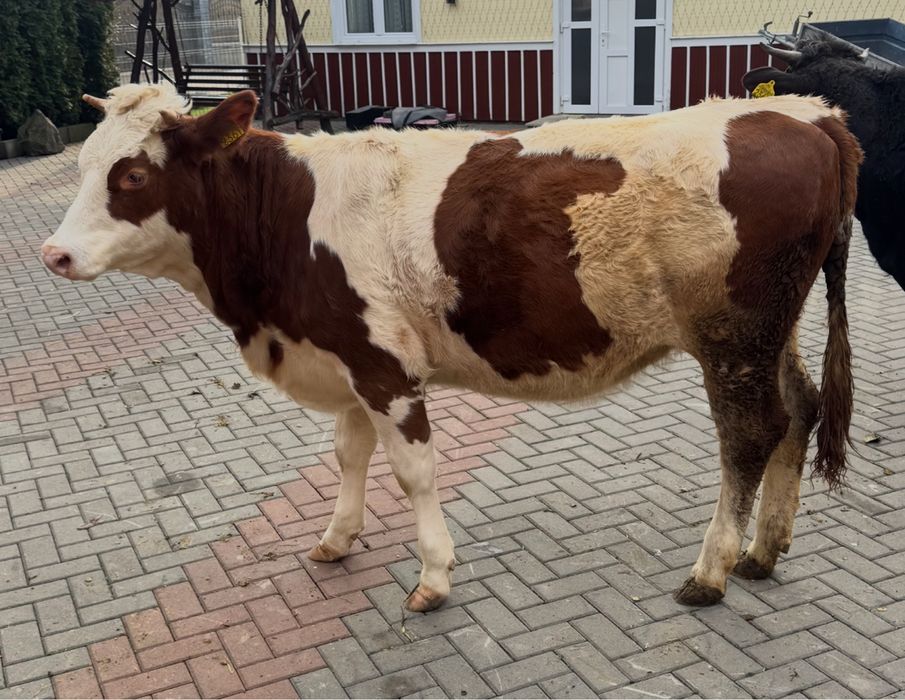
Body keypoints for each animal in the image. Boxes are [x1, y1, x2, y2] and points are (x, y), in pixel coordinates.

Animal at [42, 84, 860, 611]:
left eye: (133, 174)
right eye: (80, 165)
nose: (54, 254)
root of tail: (805, 113)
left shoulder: (384, 366)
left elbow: (412, 471)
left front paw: (433, 576)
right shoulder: (343, 352)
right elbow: (349, 454)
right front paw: (337, 538)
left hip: (732, 335)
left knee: (749, 434)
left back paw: (712, 569)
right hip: (774, 331)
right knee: (800, 408)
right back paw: (763, 551)